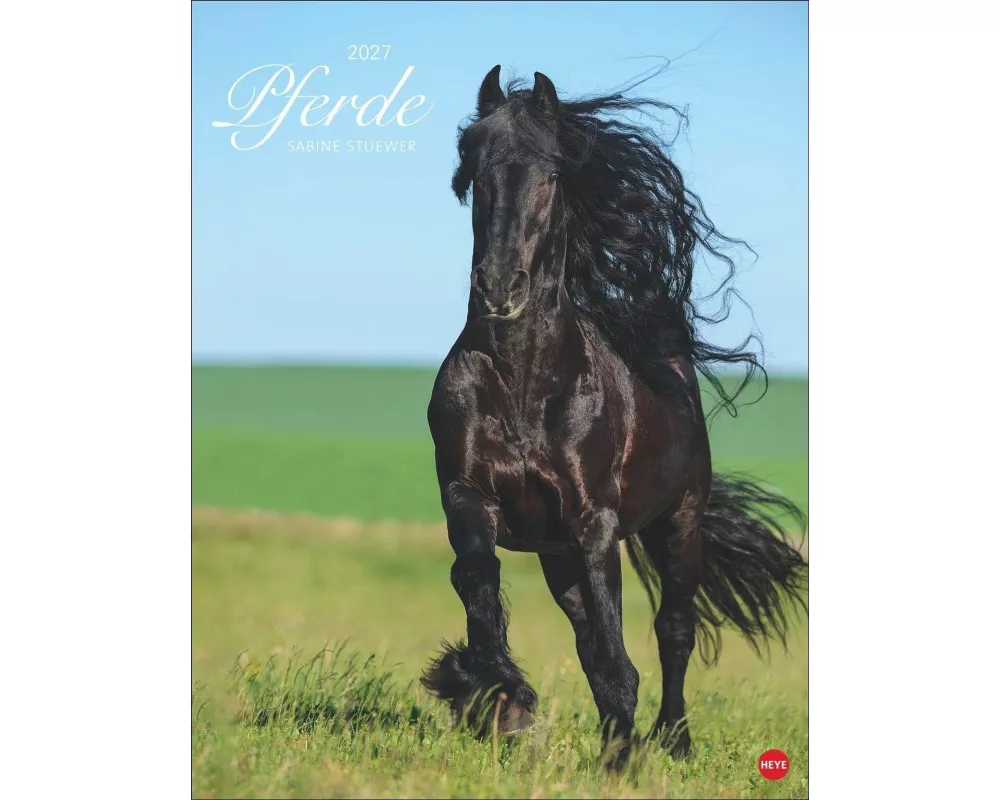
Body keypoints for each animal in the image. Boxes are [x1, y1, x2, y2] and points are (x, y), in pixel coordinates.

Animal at [421, 65, 807, 769]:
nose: (499, 288)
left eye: (550, 176)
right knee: (585, 631)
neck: (525, 383)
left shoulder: (594, 522)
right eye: (475, 174)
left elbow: (615, 649)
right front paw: (493, 696)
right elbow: (478, 582)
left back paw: (672, 740)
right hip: (557, 556)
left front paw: (619, 754)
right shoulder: (468, 496)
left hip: (678, 524)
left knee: (673, 630)